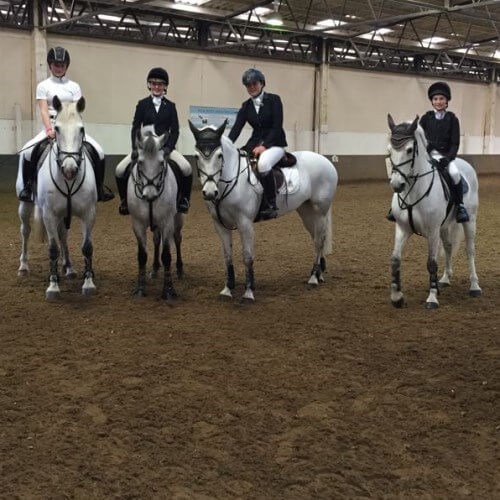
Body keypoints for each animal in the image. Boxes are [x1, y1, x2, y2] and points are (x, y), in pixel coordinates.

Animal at [16, 96, 97, 300]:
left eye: (81, 129)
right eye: (57, 129)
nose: (69, 169)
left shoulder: (88, 213)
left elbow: (87, 246)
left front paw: (88, 283)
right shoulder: (49, 215)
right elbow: (52, 249)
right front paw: (53, 287)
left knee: (63, 235)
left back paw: (69, 268)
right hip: (25, 206)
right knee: (25, 231)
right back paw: (23, 266)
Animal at [126, 126, 185, 300]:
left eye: (161, 163)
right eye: (140, 162)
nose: (150, 195)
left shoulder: (167, 222)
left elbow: (167, 256)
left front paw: (169, 290)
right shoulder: (137, 224)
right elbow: (142, 256)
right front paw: (140, 288)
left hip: (178, 219)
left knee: (177, 239)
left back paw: (179, 270)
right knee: (156, 240)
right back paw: (154, 268)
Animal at [189, 121, 338, 300]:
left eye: (219, 155)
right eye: (197, 156)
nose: (210, 192)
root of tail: (325, 160)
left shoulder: (245, 224)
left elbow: (247, 256)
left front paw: (248, 292)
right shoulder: (220, 225)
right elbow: (227, 256)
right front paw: (227, 289)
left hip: (320, 211)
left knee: (319, 240)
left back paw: (314, 278)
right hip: (307, 211)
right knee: (317, 237)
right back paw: (319, 273)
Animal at [386, 114, 480, 308]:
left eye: (409, 150)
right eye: (389, 150)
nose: (397, 185)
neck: (413, 193)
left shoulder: (433, 230)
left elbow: (431, 263)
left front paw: (432, 298)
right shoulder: (402, 229)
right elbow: (395, 260)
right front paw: (397, 297)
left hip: (470, 221)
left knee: (470, 250)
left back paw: (474, 286)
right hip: (444, 227)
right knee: (449, 247)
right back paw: (444, 280)